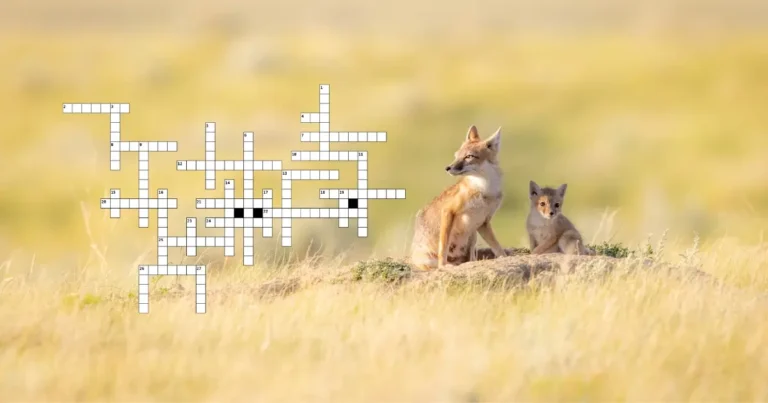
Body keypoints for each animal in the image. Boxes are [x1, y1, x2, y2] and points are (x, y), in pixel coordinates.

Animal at [410, 125, 509, 270]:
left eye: (469, 156)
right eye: (456, 156)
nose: (448, 168)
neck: (485, 189)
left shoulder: (483, 222)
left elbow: (497, 247)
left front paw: (505, 258)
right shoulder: (448, 210)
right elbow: (443, 247)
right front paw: (443, 266)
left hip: (473, 235)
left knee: (470, 257)